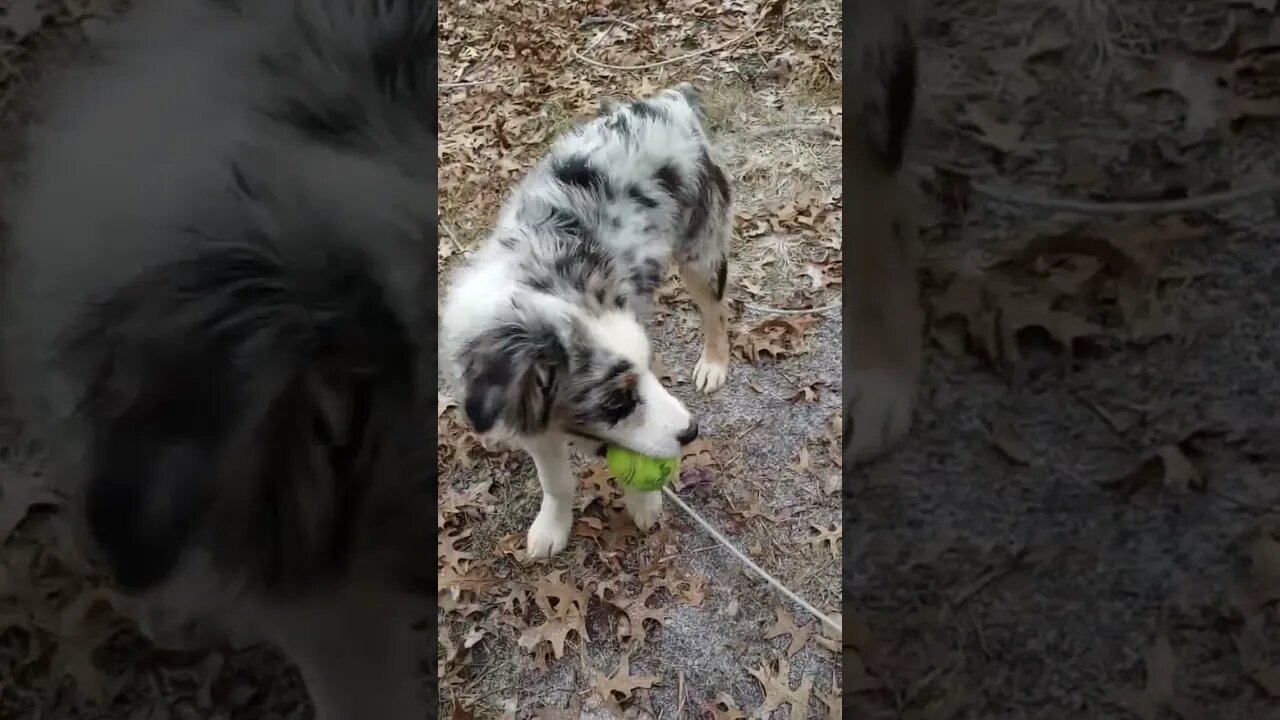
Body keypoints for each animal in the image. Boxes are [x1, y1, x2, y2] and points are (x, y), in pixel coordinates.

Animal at [445, 82, 737, 556]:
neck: (538, 284)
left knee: (716, 311)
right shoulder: (530, 418)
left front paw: (643, 503)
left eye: (650, 371)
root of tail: (668, 101)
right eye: (617, 400)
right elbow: (557, 480)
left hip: (701, 251)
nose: (692, 431)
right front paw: (552, 527)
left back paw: (713, 363)